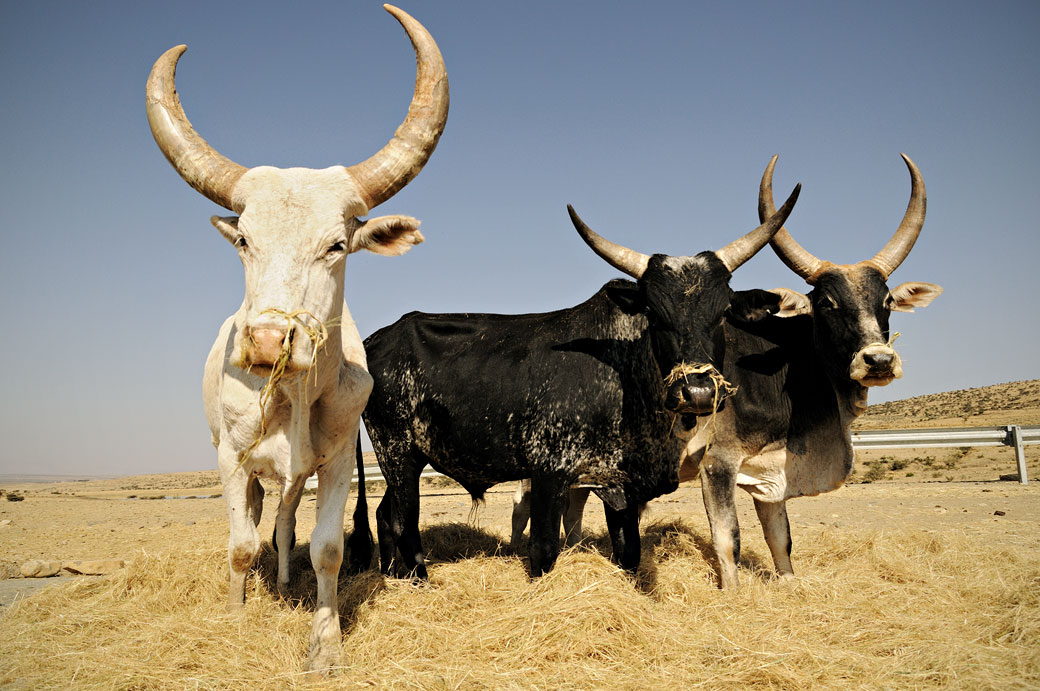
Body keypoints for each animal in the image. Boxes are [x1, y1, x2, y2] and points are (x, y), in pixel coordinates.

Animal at [145, 5, 447, 670]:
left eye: (336, 245)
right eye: (244, 240)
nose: (265, 343)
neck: (295, 397)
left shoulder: (334, 464)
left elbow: (327, 549)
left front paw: (324, 644)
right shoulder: (230, 460)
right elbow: (238, 543)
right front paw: (236, 617)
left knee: (284, 526)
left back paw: (283, 581)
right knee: (260, 522)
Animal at [361, 185, 798, 578]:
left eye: (722, 312)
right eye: (654, 314)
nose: (698, 391)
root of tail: (376, 339)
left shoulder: (620, 488)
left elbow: (629, 554)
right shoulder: (548, 473)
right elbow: (543, 550)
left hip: (409, 457)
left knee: (385, 514)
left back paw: (390, 576)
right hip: (395, 451)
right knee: (403, 521)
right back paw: (416, 581)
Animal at [536, 154, 944, 586]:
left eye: (887, 301)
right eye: (827, 303)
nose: (878, 361)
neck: (785, 373)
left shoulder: (771, 475)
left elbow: (780, 539)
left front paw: (788, 584)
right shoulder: (718, 465)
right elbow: (727, 539)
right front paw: (731, 593)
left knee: (572, 505)